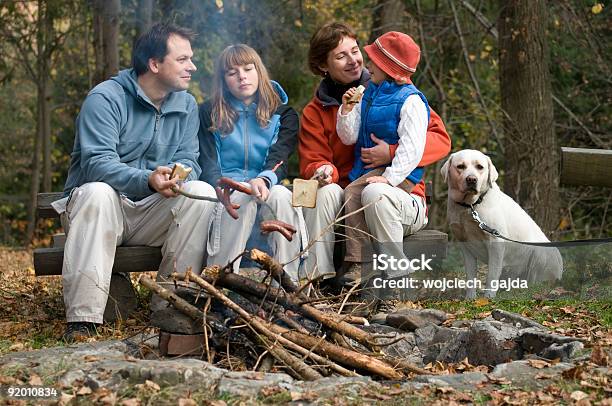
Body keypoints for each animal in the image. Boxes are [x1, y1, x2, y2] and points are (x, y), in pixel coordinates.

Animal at [440, 149, 564, 298]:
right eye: (460, 166)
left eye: (480, 167)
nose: (471, 179)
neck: (470, 206)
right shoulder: (465, 245)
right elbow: (470, 276)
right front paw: (470, 298)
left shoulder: (496, 243)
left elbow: (492, 274)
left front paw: (488, 298)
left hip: (540, 252)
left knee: (535, 283)